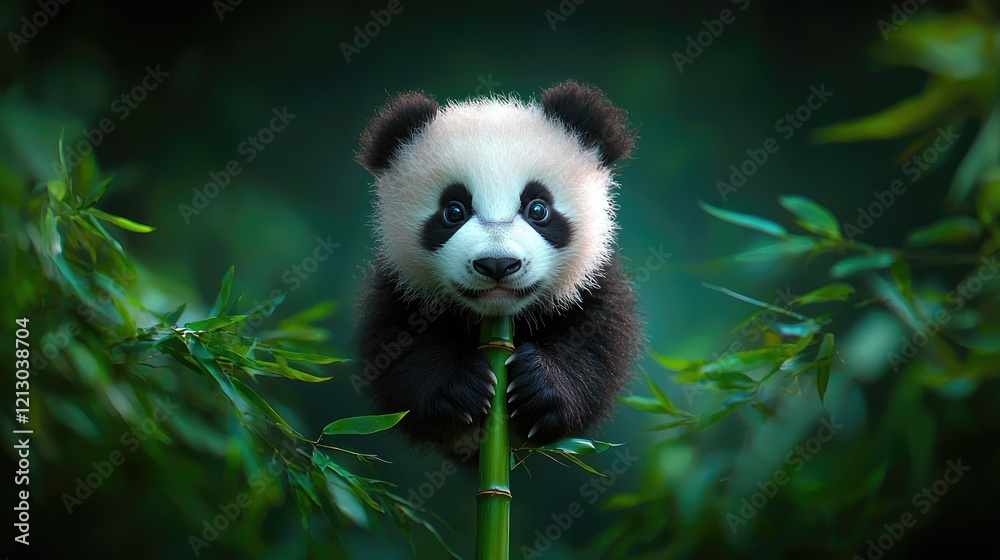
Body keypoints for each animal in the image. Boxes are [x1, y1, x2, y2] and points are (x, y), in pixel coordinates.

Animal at [354, 80, 642, 460]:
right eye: (453, 211)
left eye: (538, 209)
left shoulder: (593, 280)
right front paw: (460, 388)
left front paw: (540, 386)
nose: (497, 264)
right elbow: (395, 355)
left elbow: (597, 348)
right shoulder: (399, 282)